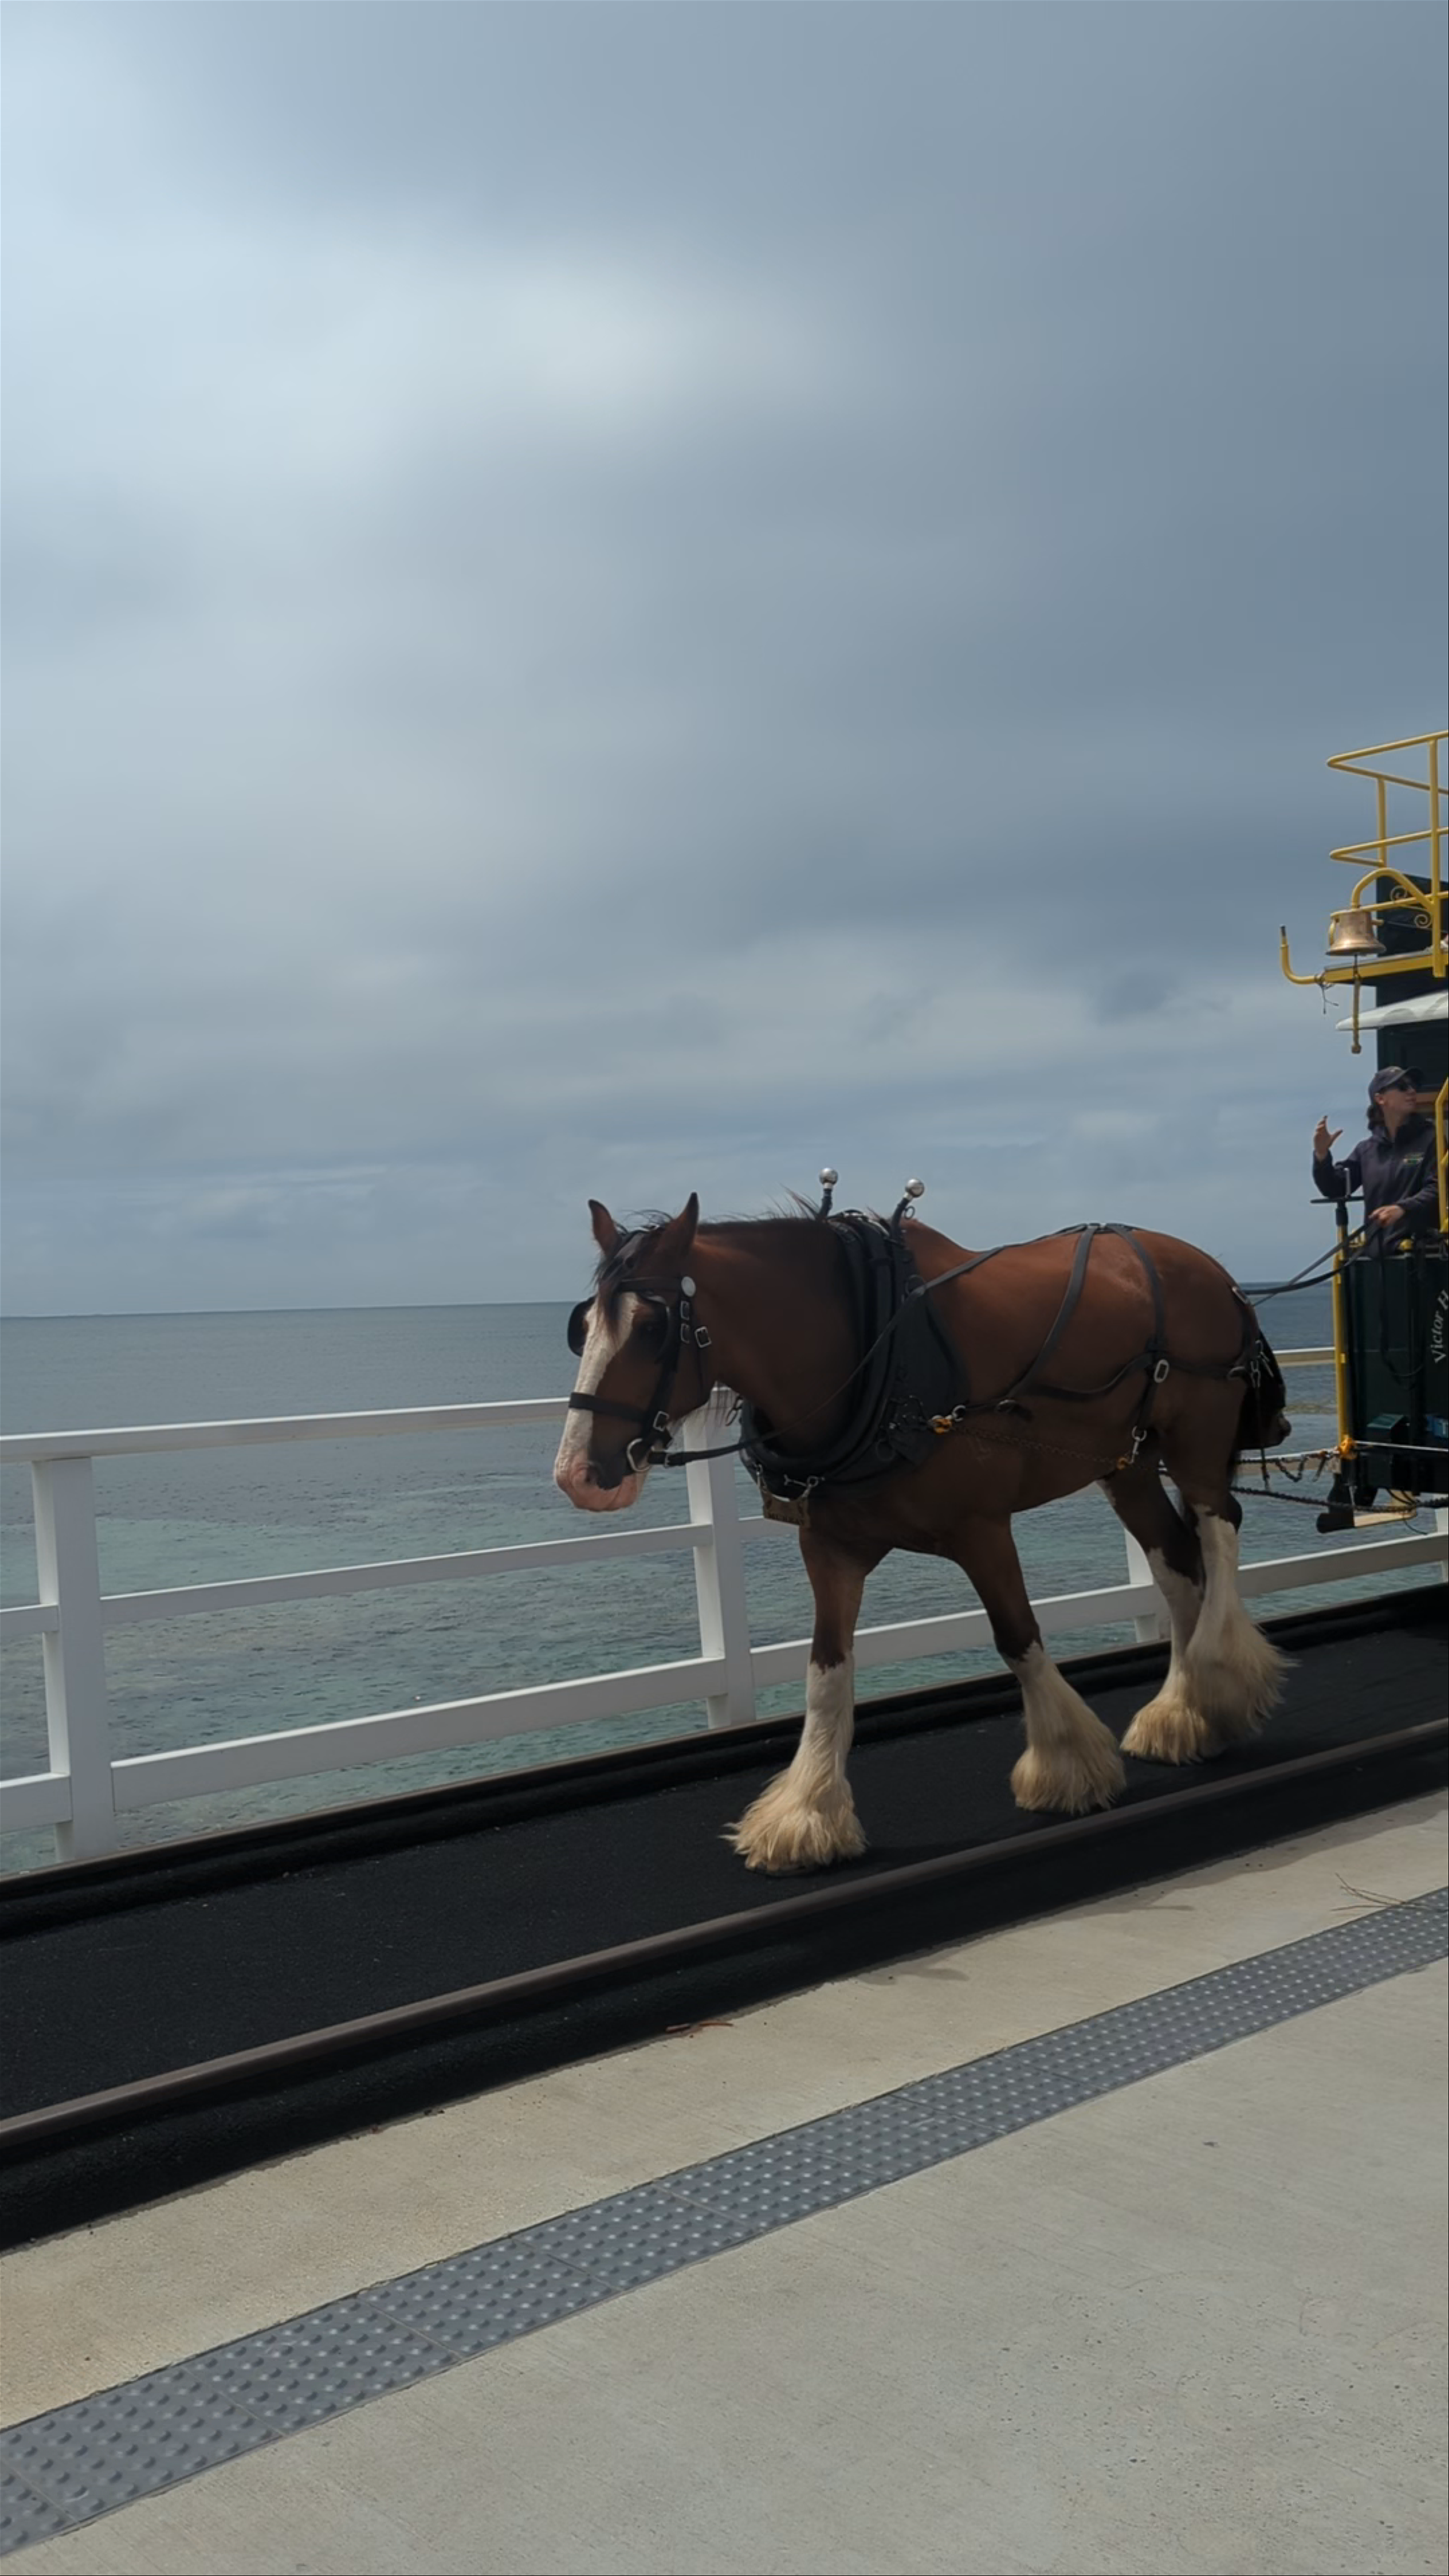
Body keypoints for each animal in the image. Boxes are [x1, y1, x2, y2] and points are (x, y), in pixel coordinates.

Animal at [553, 1189, 1291, 1873]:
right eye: (581, 1326)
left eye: (652, 1328)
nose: (578, 1474)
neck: (871, 1346)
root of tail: (1210, 1268)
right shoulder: (830, 1547)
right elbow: (826, 1670)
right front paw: (808, 1811)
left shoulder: (982, 1528)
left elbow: (1018, 1637)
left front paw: (1066, 1764)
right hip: (1129, 1462)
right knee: (1176, 1562)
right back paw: (1187, 1712)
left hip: (1197, 1433)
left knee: (1219, 1528)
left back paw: (1220, 1672)